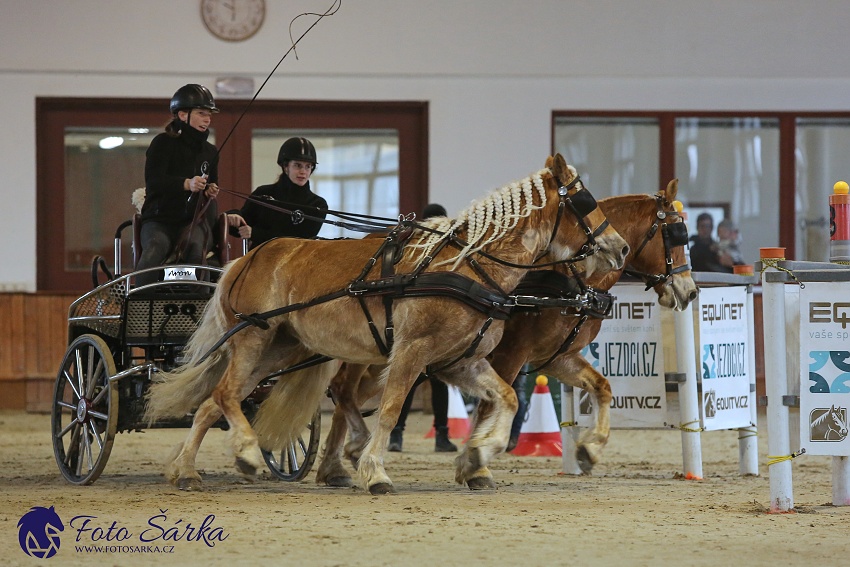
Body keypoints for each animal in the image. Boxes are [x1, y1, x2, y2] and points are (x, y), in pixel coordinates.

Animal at [142, 152, 628, 492]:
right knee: (227, 396)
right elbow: (393, 411)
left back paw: (186, 471)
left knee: (213, 403)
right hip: (253, 340)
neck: (468, 268)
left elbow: (506, 399)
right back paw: (247, 454)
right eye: (585, 201)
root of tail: (248, 258)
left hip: (279, 348)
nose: (620, 247)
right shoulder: (412, 352)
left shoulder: (461, 362)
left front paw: (477, 456)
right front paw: (376, 472)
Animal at [312, 179, 696, 488]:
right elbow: (489, 404)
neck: (567, 279)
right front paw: (475, 463)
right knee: (343, 388)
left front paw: (588, 448)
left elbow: (602, 387)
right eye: (675, 236)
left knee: (348, 394)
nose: (690, 292)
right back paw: (348, 455)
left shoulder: (556, 358)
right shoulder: (511, 352)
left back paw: (336, 464)